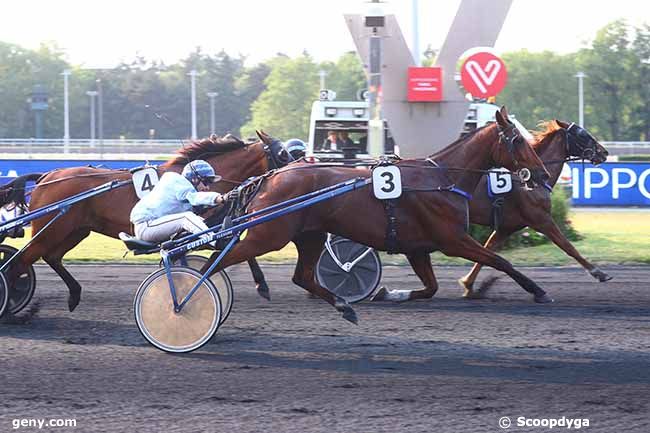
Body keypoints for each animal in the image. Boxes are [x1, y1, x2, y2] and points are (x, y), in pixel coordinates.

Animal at [0, 130, 288, 312]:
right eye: (284, 155)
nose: (296, 170)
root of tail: (46, 176)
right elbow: (234, 246)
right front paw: (261, 285)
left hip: (75, 231)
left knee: (50, 257)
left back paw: (73, 294)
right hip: (53, 229)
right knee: (21, 262)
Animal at [204, 106, 552, 322]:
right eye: (518, 140)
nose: (543, 174)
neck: (441, 179)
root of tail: (270, 177)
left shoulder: (417, 248)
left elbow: (431, 288)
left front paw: (387, 293)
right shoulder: (453, 239)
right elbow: (501, 261)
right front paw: (538, 291)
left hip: (310, 235)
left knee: (301, 276)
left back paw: (344, 306)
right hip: (270, 234)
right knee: (217, 261)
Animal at [458, 120, 612, 296]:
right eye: (582, 134)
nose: (604, 152)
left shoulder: (507, 227)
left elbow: (488, 248)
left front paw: (469, 284)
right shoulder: (541, 219)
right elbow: (568, 246)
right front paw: (598, 272)